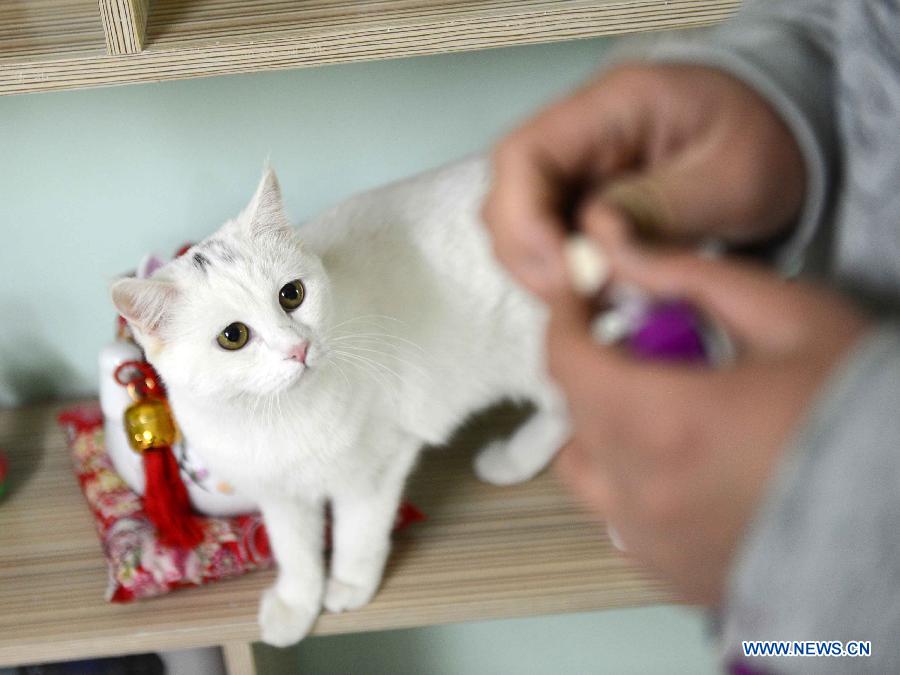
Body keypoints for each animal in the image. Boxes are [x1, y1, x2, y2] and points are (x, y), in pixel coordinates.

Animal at [109, 156, 568, 648]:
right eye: (233, 336)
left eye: (292, 294)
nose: (297, 348)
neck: (279, 414)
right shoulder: (279, 492)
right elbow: (294, 548)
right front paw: (296, 604)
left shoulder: (378, 463)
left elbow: (358, 530)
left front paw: (348, 583)